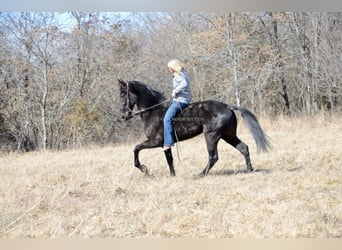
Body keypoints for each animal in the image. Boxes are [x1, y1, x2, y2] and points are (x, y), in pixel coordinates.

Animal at [117, 79, 270, 177]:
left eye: (124, 94)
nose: (123, 116)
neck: (153, 112)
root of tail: (228, 106)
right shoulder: (165, 144)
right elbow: (169, 159)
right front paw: (172, 175)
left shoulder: (156, 141)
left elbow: (136, 148)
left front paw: (144, 169)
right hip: (228, 135)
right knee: (244, 148)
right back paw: (249, 170)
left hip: (211, 136)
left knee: (213, 157)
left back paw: (201, 174)